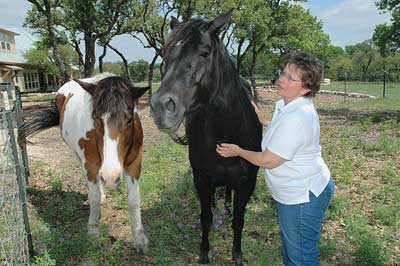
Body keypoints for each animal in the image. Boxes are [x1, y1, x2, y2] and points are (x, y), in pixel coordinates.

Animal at [19, 74, 150, 252]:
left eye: (130, 119)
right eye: (95, 117)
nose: (111, 176)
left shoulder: (134, 163)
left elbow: (134, 199)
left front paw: (139, 238)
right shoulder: (90, 162)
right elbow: (93, 196)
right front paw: (93, 231)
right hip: (78, 155)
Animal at [150, 11, 262, 264]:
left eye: (204, 52)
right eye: (165, 54)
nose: (161, 107)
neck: (227, 132)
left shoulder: (247, 183)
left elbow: (239, 220)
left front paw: (237, 255)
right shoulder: (201, 180)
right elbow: (205, 219)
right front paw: (204, 254)